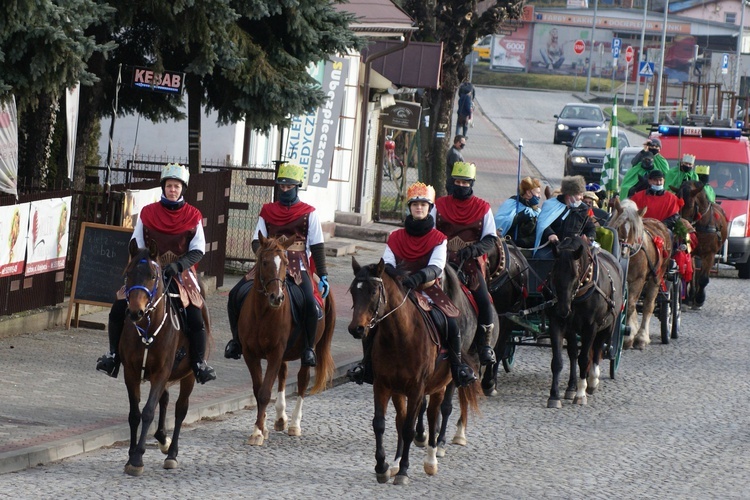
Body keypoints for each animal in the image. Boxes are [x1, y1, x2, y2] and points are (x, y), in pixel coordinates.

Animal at [120, 240, 209, 474]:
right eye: (129, 273)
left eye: (153, 275)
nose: (135, 312)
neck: (148, 328)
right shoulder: (130, 372)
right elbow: (134, 414)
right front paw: (130, 455)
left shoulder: (161, 372)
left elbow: (148, 411)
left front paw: (137, 458)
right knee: (166, 400)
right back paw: (162, 439)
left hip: (188, 376)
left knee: (180, 409)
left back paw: (172, 454)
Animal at [239, 232, 336, 448]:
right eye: (264, 262)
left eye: (284, 262)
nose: (277, 297)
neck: (262, 313)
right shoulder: (250, 354)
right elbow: (258, 390)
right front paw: (262, 427)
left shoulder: (275, 352)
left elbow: (265, 392)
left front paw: (257, 432)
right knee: (283, 375)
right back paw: (280, 418)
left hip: (308, 349)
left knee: (302, 380)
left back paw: (294, 424)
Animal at [348, 258, 478, 484]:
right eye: (353, 291)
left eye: (373, 291)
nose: (356, 328)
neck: (399, 336)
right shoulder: (383, 385)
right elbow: (380, 424)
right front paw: (383, 467)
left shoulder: (417, 388)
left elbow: (409, 428)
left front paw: (403, 471)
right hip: (399, 391)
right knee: (402, 420)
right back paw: (396, 462)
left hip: (439, 386)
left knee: (435, 414)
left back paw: (431, 460)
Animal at [548, 236, 624, 408]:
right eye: (554, 273)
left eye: (575, 275)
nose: (563, 309)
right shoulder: (557, 323)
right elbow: (558, 361)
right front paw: (554, 396)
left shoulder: (591, 327)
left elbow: (584, 359)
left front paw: (581, 393)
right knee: (573, 353)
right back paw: (572, 387)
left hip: (607, 326)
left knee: (596, 350)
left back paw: (592, 380)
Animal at [612, 197, 676, 350]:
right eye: (619, 227)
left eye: (634, 230)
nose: (624, 252)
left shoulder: (638, 280)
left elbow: (630, 305)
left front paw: (628, 337)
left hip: (657, 277)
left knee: (648, 305)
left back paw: (641, 337)